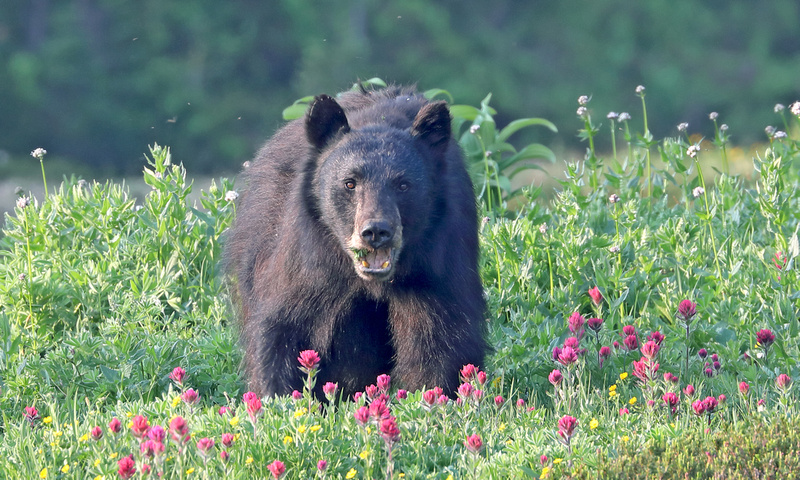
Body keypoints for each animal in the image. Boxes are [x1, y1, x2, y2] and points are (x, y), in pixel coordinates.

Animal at [225, 85, 488, 398]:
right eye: (350, 183)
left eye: (403, 184)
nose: (376, 231)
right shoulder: (309, 261)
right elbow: (285, 327)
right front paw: (280, 397)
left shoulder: (438, 260)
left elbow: (441, 338)